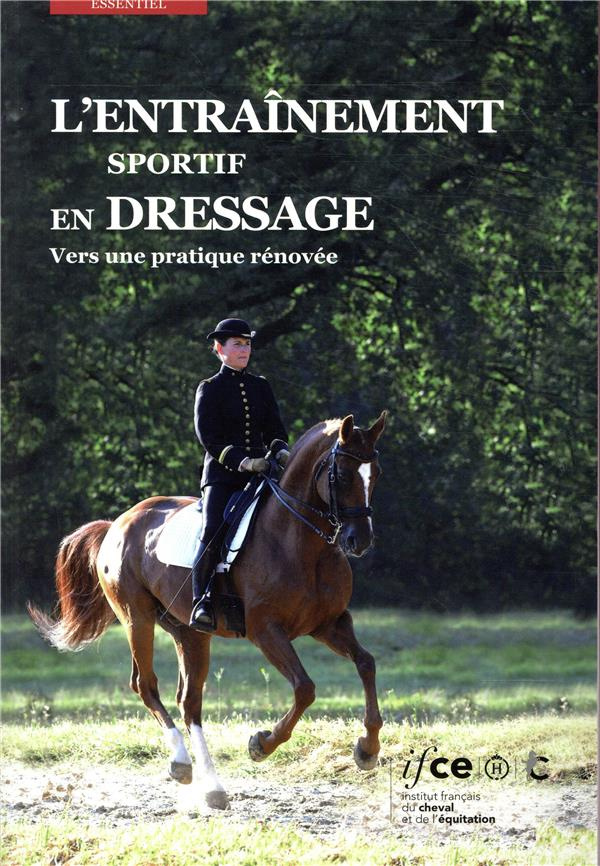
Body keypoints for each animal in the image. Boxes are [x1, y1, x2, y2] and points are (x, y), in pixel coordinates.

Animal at [28, 411, 387, 810]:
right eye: (341, 475)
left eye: (376, 473)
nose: (359, 541)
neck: (300, 542)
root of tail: (117, 523)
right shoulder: (266, 630)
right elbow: (305, 688)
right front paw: (262, 744)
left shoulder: (330, 623)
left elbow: (366, 663)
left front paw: (368, 749)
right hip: (137, 618)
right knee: (146, 685)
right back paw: (182, 762)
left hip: (189, 632)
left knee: (189, 702)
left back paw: (212, 786)